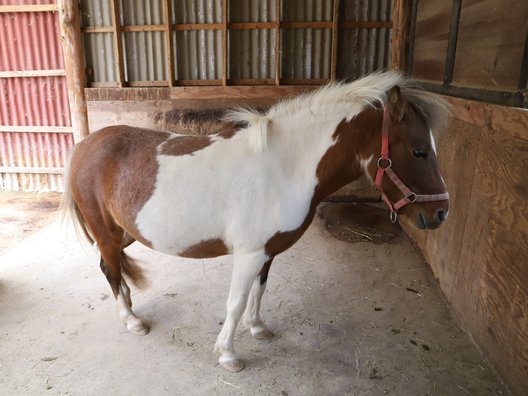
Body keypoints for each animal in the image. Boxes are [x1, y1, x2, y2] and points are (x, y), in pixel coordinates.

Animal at [62, 72, 450, 372]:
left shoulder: (267, 252)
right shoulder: (249, 254)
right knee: (109, 269)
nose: (440, 213)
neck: (283, 168)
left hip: (122, 232)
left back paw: (129, 305)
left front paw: (258, 328)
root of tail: (85, 144)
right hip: (106, 232)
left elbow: (259, 292)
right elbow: (234, 302)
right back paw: (131, 320)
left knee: (113, 268)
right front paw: (228, 355)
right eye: (418, 151)